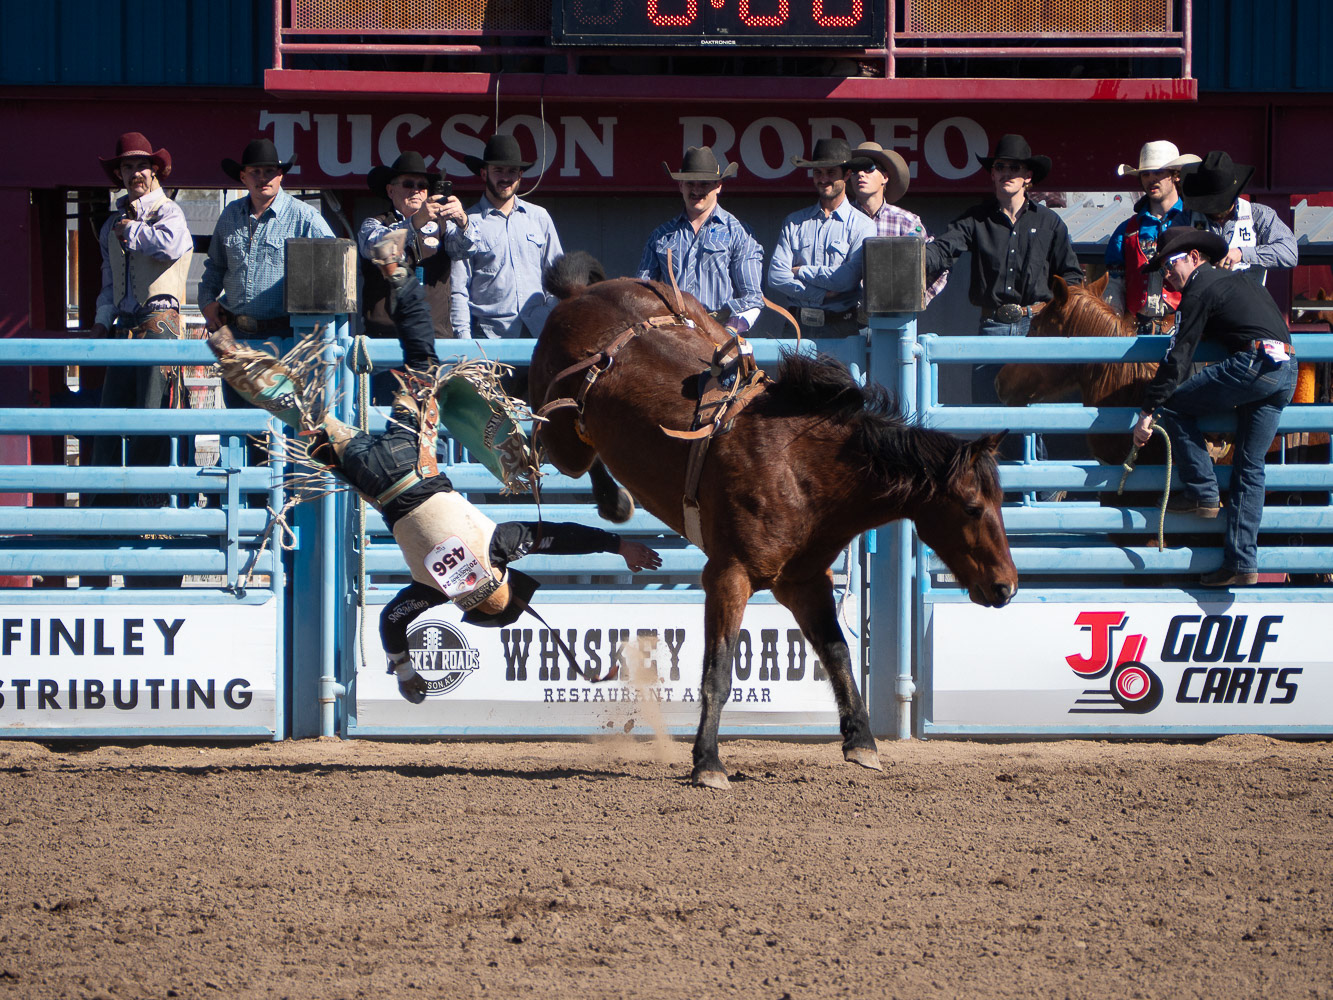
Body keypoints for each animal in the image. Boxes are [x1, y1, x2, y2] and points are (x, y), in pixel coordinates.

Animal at [528, 255, 1018, 789]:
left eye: (1000, 501)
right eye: (972, 507)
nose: (1007, 587)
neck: (801, 470)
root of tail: (580, 295)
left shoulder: (803, 582)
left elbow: (837, 653)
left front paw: (862, 742)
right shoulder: (728, 576)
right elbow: (718, 672)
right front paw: (708, 762)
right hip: (563, 437)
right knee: (553, 434)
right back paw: (604, 496)